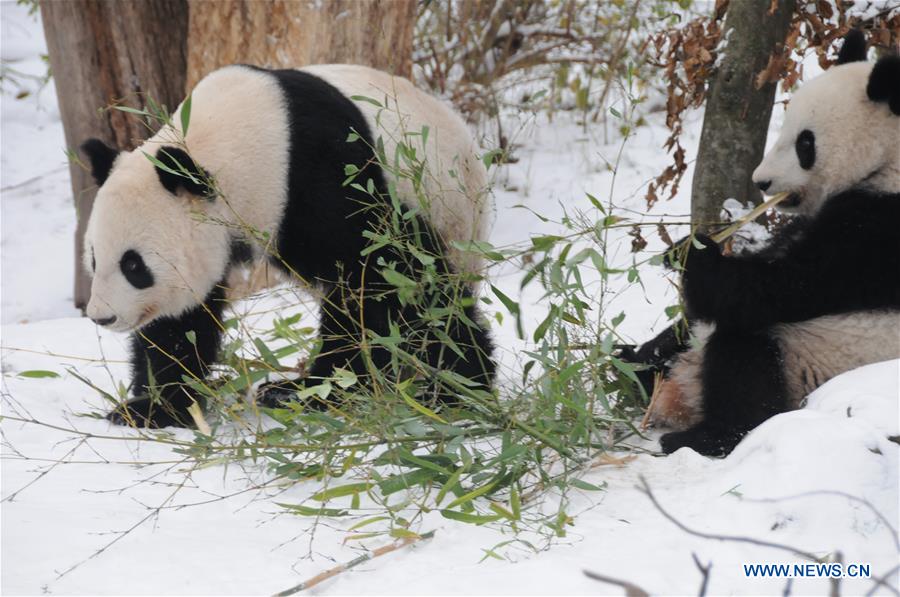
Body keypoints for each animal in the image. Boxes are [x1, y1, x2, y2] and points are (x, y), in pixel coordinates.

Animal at [81, 64, 495, 428]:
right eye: (94, 259)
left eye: (133, 266)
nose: (102, 317)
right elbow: (180, 325)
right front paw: (153, 408)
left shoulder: (321, 174)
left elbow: (383, 276)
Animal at [631, 32, 900, 457]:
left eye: (805, 144)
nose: (762, 181)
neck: (889, 165)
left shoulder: (877, 231)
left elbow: (778, 289)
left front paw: (695, 252)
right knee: (683, 334)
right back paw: (629, 364)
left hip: (814, 357)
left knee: (745, 352)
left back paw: (704, 436)